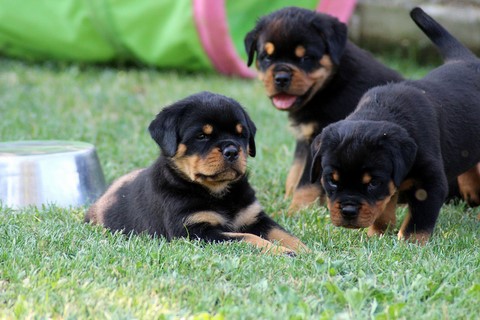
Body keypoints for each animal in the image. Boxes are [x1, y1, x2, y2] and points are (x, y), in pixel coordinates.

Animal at [86, 90, 308, 255]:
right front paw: (281, 252)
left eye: (241, 134)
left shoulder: (254, 217)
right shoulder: (195, 231)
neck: (219, 193)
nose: (232, 151)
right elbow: (246, 237)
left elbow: (284, 234)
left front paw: (307, 251)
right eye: (202, 136)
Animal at [242, 6, 404, 211]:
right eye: (267, 57)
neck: (330, 84)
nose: (281, 77)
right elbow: (294, 172)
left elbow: (306, 183)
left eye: (305, 58)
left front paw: (296, 210)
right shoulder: (305, 139)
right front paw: (289, 200)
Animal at [310, 7, 480, 244]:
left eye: (373, 183)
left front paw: (410, 242)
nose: (348, 211)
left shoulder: (431, 181)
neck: (382, 112)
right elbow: (385, 205)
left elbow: (419, 217)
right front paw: (378, 233)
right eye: (332, 181)